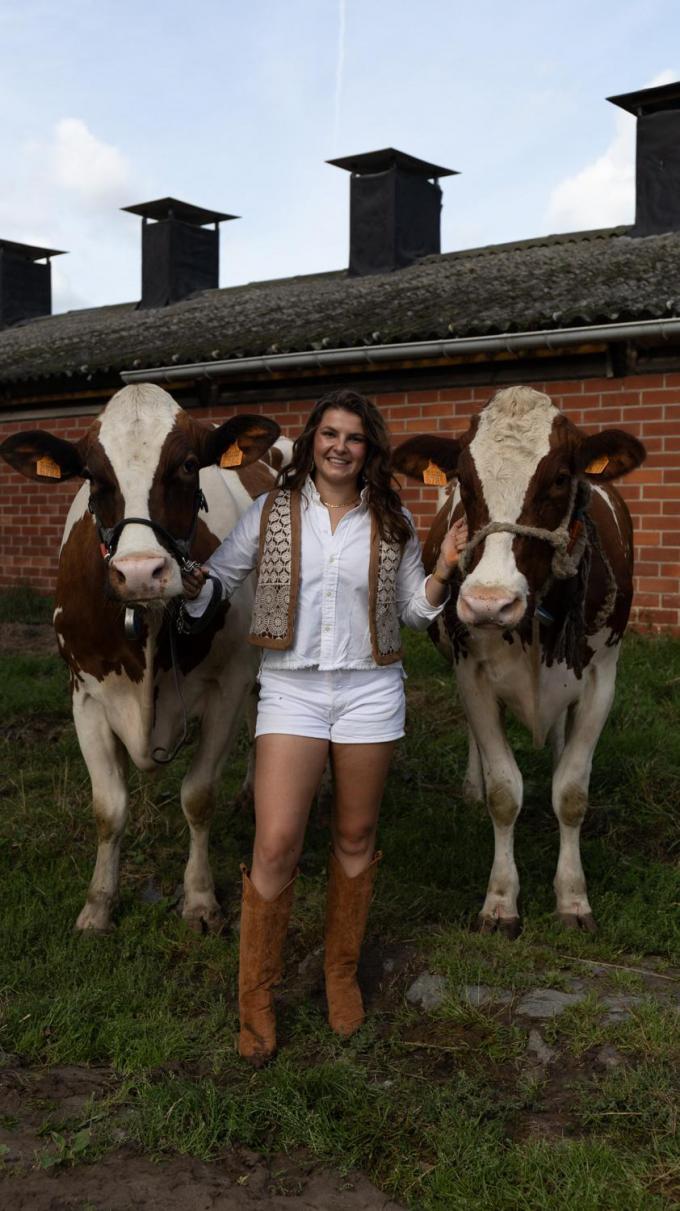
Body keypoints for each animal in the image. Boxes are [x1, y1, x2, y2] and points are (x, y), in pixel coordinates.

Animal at [0, 382, 280, 930]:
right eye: (92, 475)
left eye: (189, 464)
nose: (139, 572)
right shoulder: (85, 695)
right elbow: (108, 808)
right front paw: (98, 905)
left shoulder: (227, 683)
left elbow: (198, 796)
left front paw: (199, 898)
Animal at [392, 387, 638, 934]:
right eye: (465, 480)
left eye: (562, 478)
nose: (489, 602)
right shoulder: (473, 676)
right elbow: (505, 794)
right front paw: (501, 901)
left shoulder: (602, 678)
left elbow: (572, 792)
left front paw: (572, 898)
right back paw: (472, 785)